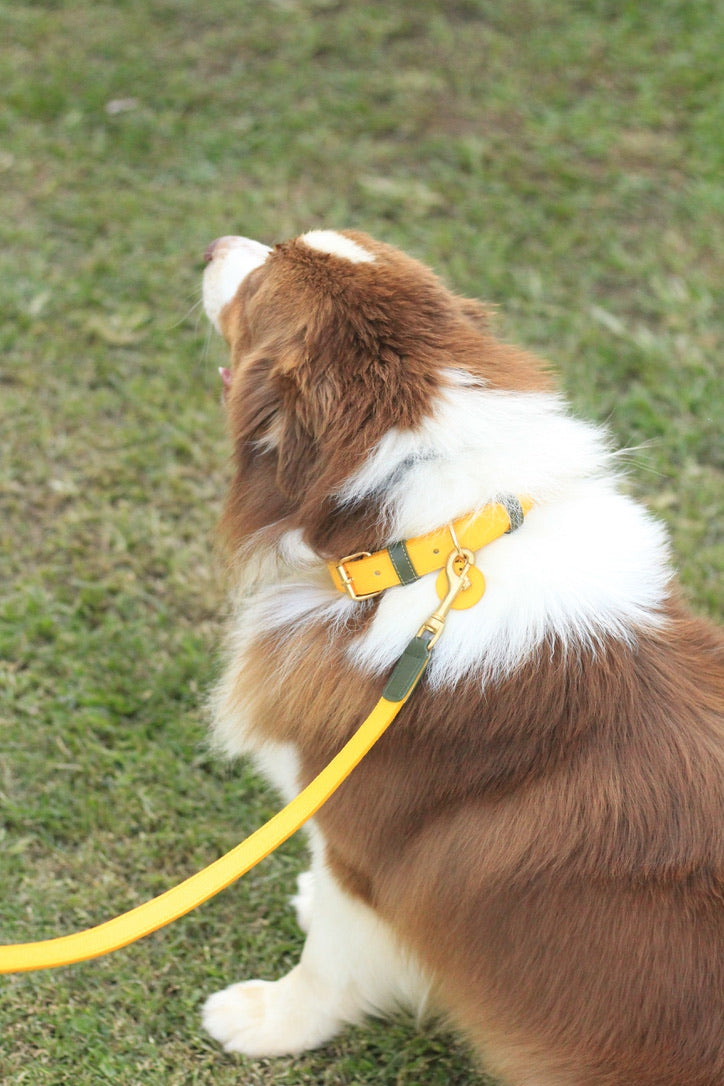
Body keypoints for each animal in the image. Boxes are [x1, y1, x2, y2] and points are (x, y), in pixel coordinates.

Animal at [199, 231, 724, 1086]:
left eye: (255, 287)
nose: (214, 245)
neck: (434, 543)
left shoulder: (362, 847)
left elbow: (328, 961)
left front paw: (271, 1021)